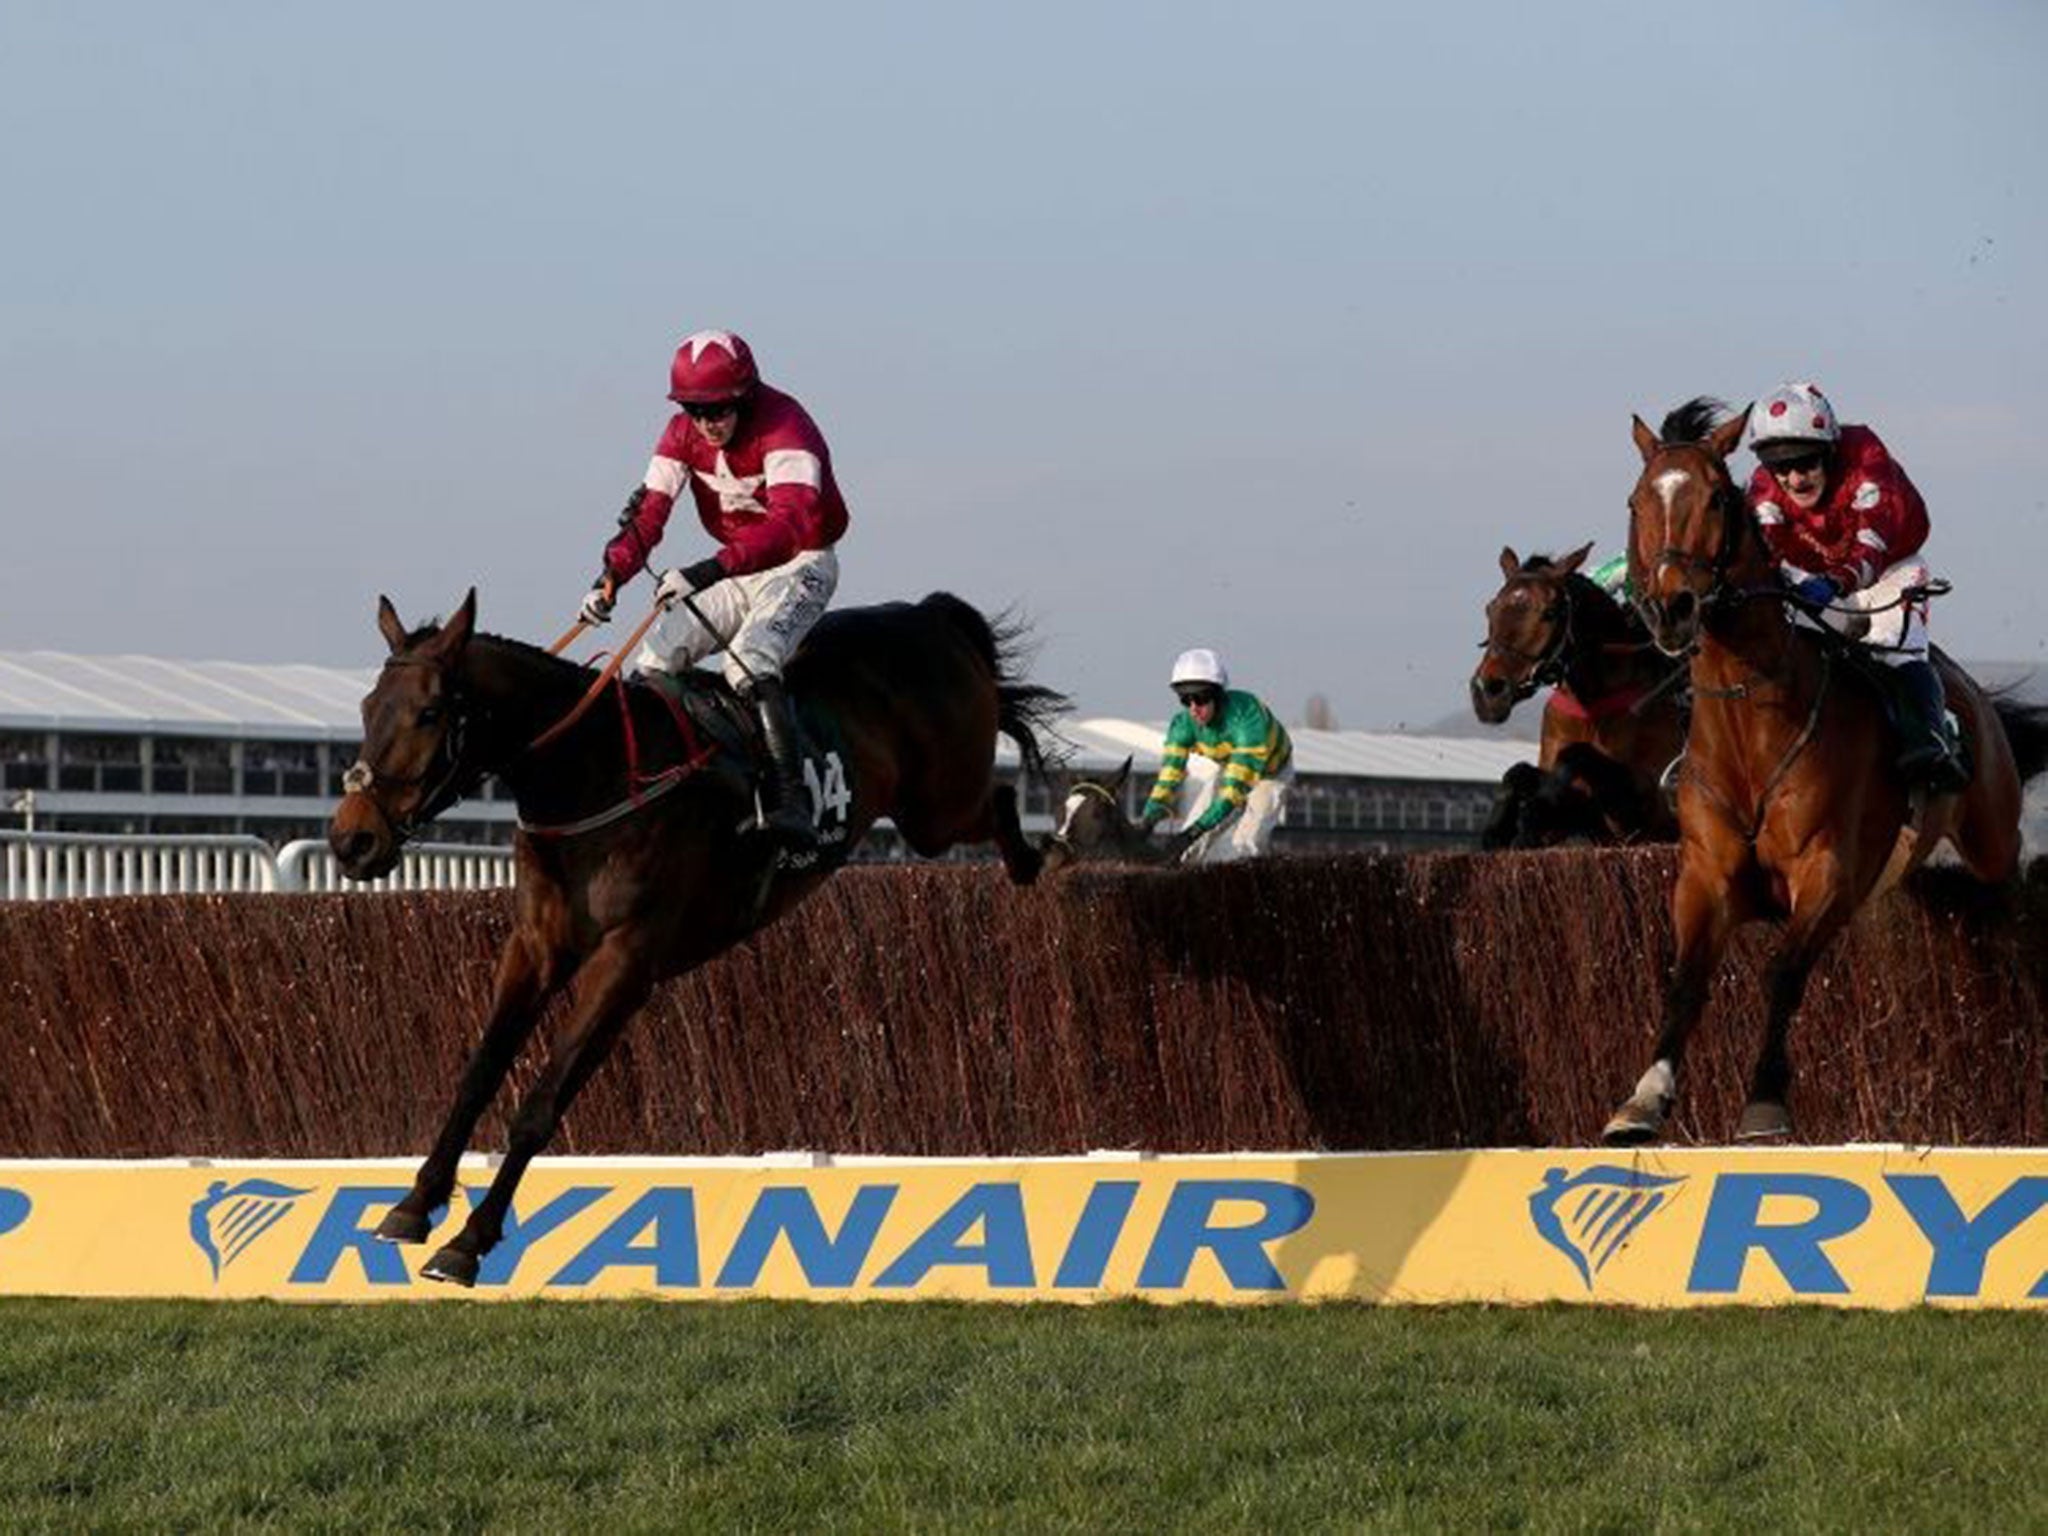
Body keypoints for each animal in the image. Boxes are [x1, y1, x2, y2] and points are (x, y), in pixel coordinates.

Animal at [327, 589, 1064, 1286]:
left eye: (429, 713)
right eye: (366, 707)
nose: (351, 840)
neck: (592, 775)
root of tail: (929, 615)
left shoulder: (628, 960)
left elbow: (540, 1104)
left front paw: (470, 1242)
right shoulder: (536, 945)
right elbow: (478, 1074)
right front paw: (414, 1204)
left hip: (938, 809)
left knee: (1000, 800)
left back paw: (1050, 852)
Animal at [1482, 540, 1687, 856]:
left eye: (1549, 612)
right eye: (1491, 609)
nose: (1488, 689)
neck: (1590, 707)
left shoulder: (1646, 813)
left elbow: (1573, 755)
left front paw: (1532, 817)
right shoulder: (1586, 815)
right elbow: (1518, 774)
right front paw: (1499, 830)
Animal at [1597, 397, 2048, 1146]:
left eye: (1716, 498)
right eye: (1636, 502)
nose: (1670, 608)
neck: (1753, 731)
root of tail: (1976, 696)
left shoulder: (1828, 873)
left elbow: (1783, 972)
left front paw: (1764, 1102)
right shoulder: (1705, 876)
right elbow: (1684, 981)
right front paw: (1643, 1099)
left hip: (1992, 838)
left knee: (2014, 902)